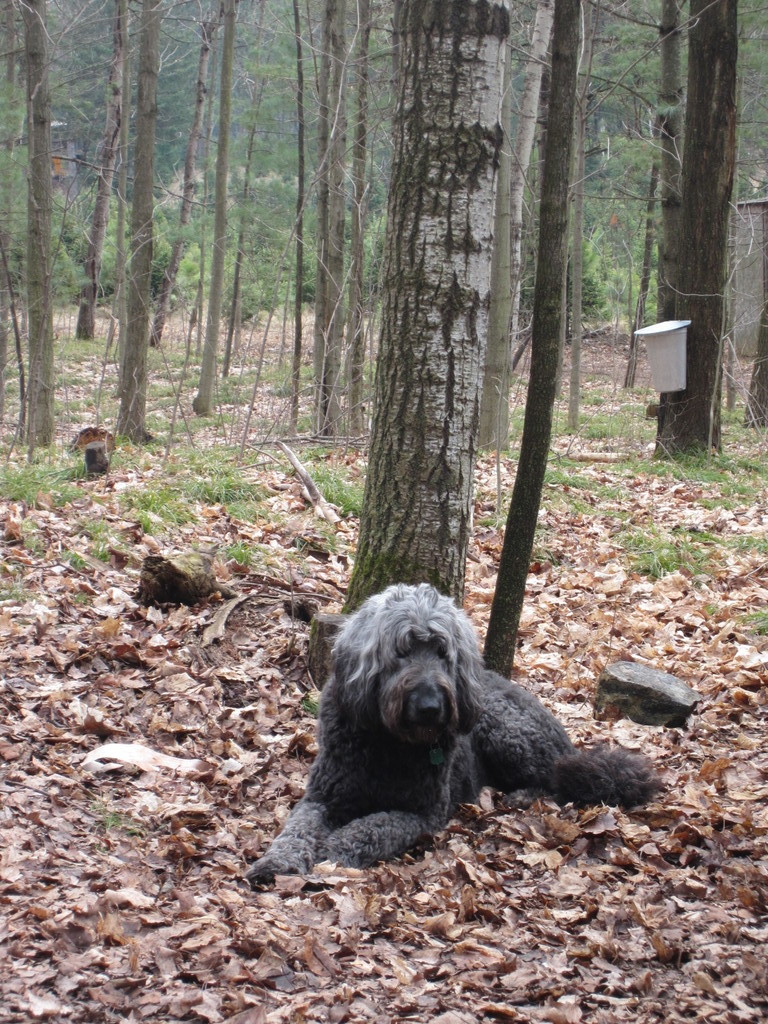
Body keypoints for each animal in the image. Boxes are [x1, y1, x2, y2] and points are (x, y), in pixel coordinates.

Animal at [247, 581, 663, 884]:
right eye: (401, 651)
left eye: (442, 651)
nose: (431, 705)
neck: (388, 744)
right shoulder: (321, 797)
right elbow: (296, 829)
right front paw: (275, 862)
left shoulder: (420, 814)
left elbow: (369, 829)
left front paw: (331, 851)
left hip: (501, 728)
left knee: (554, 780)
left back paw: (521, 795)